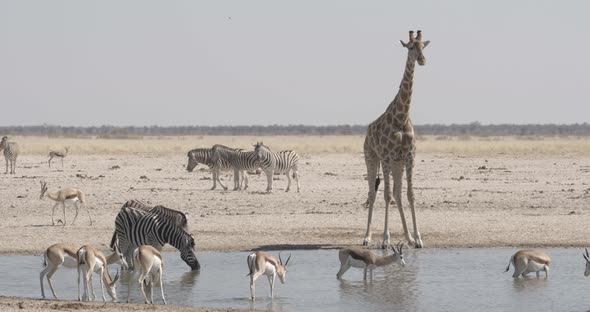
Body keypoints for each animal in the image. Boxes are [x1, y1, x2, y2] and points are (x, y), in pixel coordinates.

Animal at [364, 29, 432, 249]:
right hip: (371, 157)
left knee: (398, 194)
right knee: (373, 193)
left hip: (397, 163)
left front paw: (418, 238)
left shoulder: (409, 156)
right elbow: (385, 195)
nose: (422, 60)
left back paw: (408, 238)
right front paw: (385, 239)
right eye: (410, 47)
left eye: (423, 46)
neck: (401, 118)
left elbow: (410, 194)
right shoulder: (385, 156)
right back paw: (367, 238)